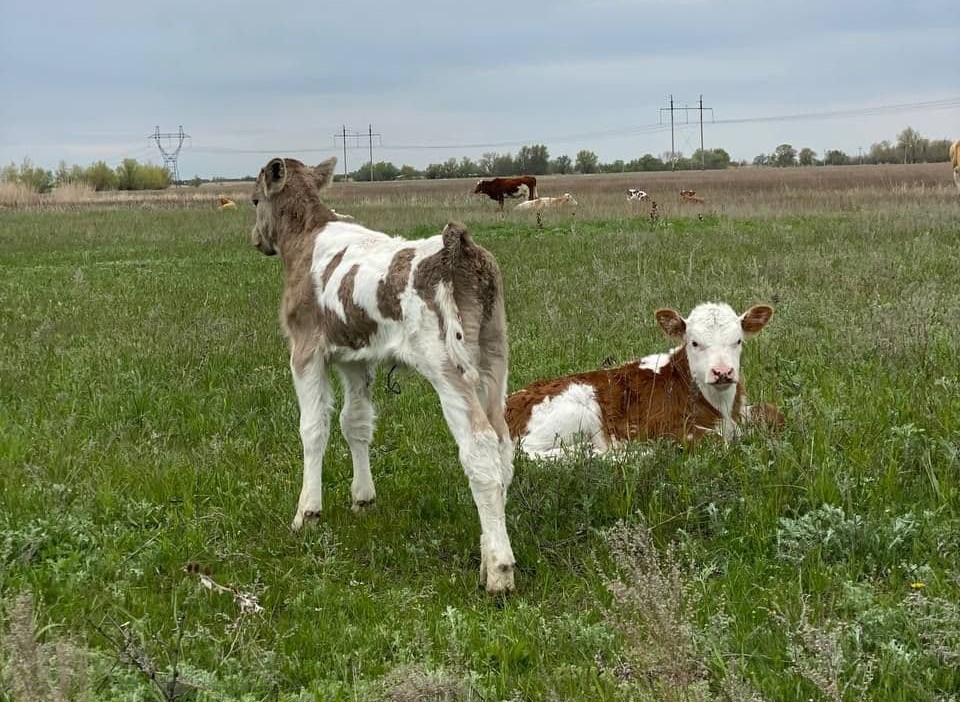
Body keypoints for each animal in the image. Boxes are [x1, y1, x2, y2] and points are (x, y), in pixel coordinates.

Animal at [249, 155, 516, 592]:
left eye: (255, 200)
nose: (256, 240)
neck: (306, 235)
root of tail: (456, 246)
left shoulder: (305, 349)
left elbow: (313, 427)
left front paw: (307, 512)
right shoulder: (357, 358)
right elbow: (354, 422)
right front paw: (363, 497)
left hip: (448, 366)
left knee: (478, 447)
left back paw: (499, 570)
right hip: (493, 358)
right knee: (502, 446)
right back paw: (487, 551)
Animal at [506, 302, 776, 462]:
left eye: (738, 341)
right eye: (695, 342)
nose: (722, 372)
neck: (721, 405)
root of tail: (510, 401)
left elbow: (773, 414)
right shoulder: (662, 428)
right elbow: (714, 440)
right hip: (576, 408)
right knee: (528, 455)